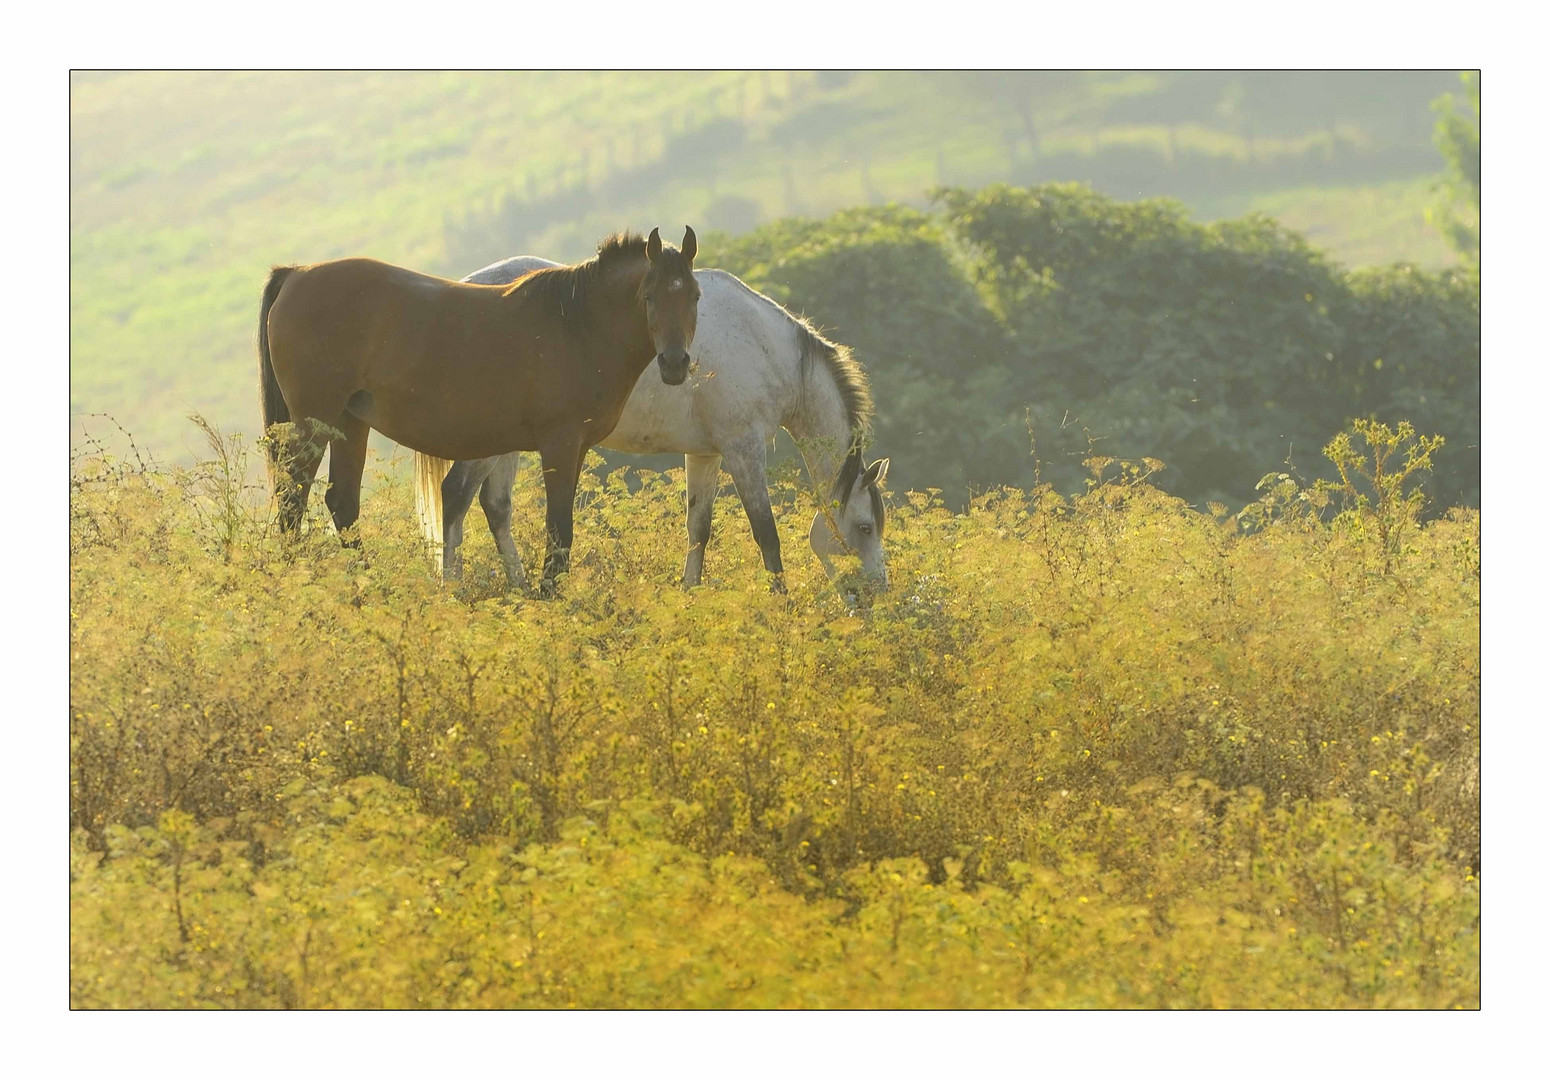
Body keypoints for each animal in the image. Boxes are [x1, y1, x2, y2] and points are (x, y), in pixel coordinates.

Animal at [260, 224, 703, 588]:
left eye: (694, 295)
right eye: (649, 295)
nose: (675, 363)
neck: (577, 323)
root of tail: (296, 274)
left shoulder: (570, 450)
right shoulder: (559, 445)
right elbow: (559, 530)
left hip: (349, 423)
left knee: (342, 503)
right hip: (314, 423)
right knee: (293, 500)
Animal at [418, 257, 892, 595]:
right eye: (865, 527)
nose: (877, 593)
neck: (765, 345)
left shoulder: (705, 453)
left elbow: (698, 529)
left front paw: (689, 595)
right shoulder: (744, 449)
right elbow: (766, 534)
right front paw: (782, 606)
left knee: (495, 505)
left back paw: (518, 591)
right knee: (456, 497)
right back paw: (453, 591)